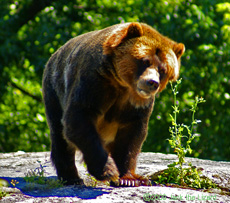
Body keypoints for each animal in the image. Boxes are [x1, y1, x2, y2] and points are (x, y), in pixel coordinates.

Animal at [41, 22, 185, 187]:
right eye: (145, 61)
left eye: (163, 70)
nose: (152, 82)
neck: (122, 84)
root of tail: (53, 55)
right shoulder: (94, 82)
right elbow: (79, 117)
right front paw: (108, 170)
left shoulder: (137, 105)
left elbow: (130, 137)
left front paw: (128, 178)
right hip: (54, 92)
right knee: (60, 135)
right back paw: (71, 177)